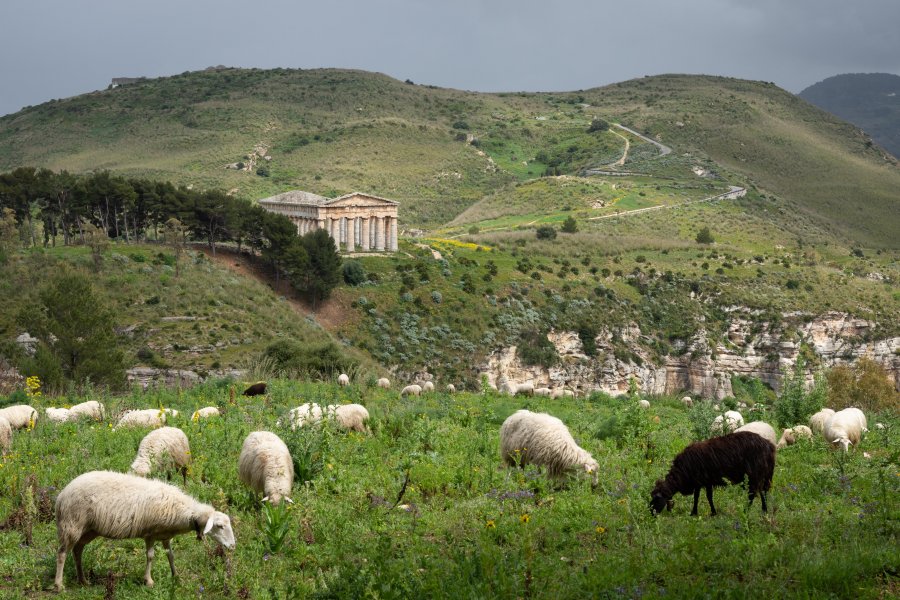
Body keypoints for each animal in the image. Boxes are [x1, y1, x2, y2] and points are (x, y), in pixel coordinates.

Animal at [54, 468, 234, 592]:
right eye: (220, 526)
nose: (232, 546)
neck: (185, 513)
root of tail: (62, 495)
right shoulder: (150, 534)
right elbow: (150, 556)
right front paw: (148, 581)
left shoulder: (165, 536)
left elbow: (171, 555)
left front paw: (175, 576)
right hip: (72, 524)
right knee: (62, 553)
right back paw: (59, 584)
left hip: (89, 529)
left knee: (77, 550)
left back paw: (83, 580)